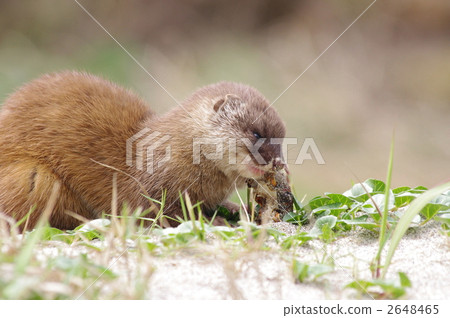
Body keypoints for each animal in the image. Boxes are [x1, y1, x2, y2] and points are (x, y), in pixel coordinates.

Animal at [0, 71, 286, 229]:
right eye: (256, 133)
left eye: (282, 138)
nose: (278, 162)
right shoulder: (148, 189)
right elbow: (159, 212)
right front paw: (213, 221)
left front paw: (238, 209)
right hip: (37, 178)